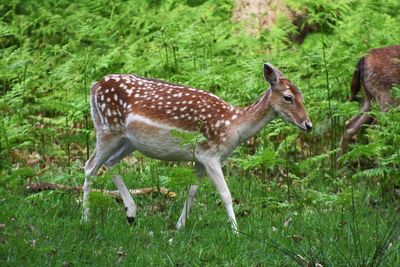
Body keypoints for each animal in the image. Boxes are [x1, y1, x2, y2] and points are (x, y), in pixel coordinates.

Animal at [82, 64, 312, 232]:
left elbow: (192, 191)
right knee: (90, 166)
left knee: (109, 163)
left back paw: (131, 213)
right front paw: (236, 232)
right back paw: (86, 217)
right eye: (288, 97)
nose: (308, 124)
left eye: (302, 95)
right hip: (108, 128)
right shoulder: (211, 155)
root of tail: (94, 86)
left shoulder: (200, 158)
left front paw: (179, 226)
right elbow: (226, 194)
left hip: (128, 141)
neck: (233, 126)